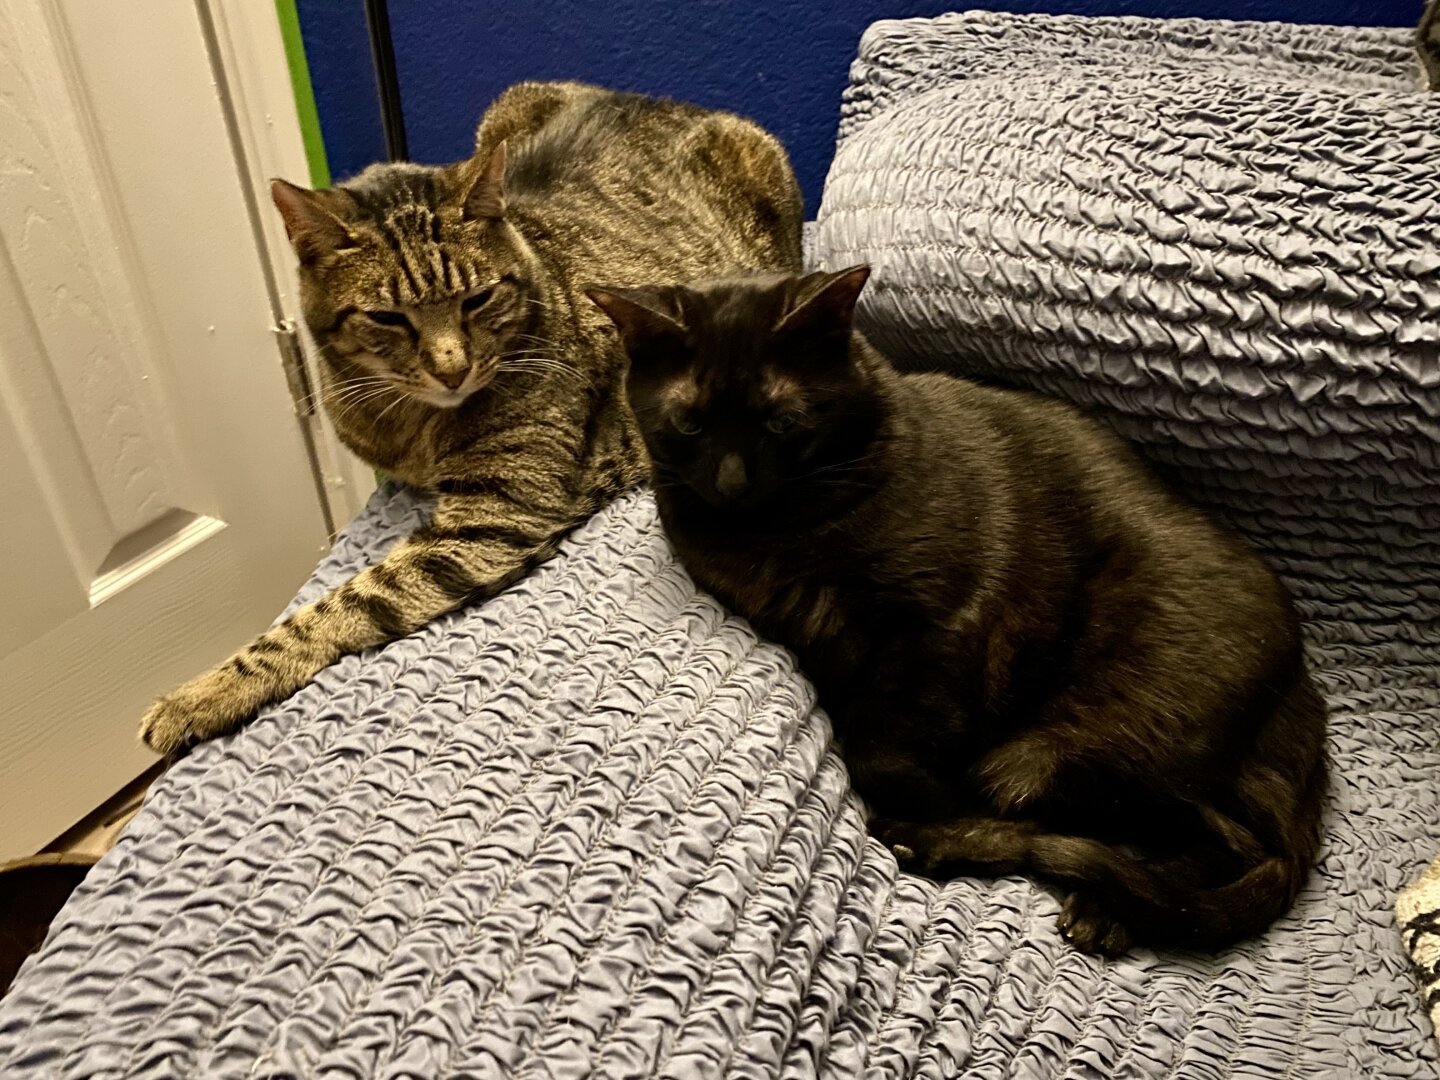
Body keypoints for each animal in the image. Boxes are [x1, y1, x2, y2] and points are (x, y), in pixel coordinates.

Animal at [137, 82, 800, 754]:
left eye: (478, 299)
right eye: (387, 318)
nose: (452, 369)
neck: (410, 426)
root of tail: (654, 97)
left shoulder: (496, 511)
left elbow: (346, 602)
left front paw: (206, 692)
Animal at [587, 269, 1324, 956]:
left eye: (780, 421)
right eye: (690, 423)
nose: (732, 482)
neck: (779, 539)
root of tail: (1302, 701)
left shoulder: (943, 627)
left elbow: (877, 749)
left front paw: (931, 803)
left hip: (1054, 751)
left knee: (1193, 840)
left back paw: (977, 856)